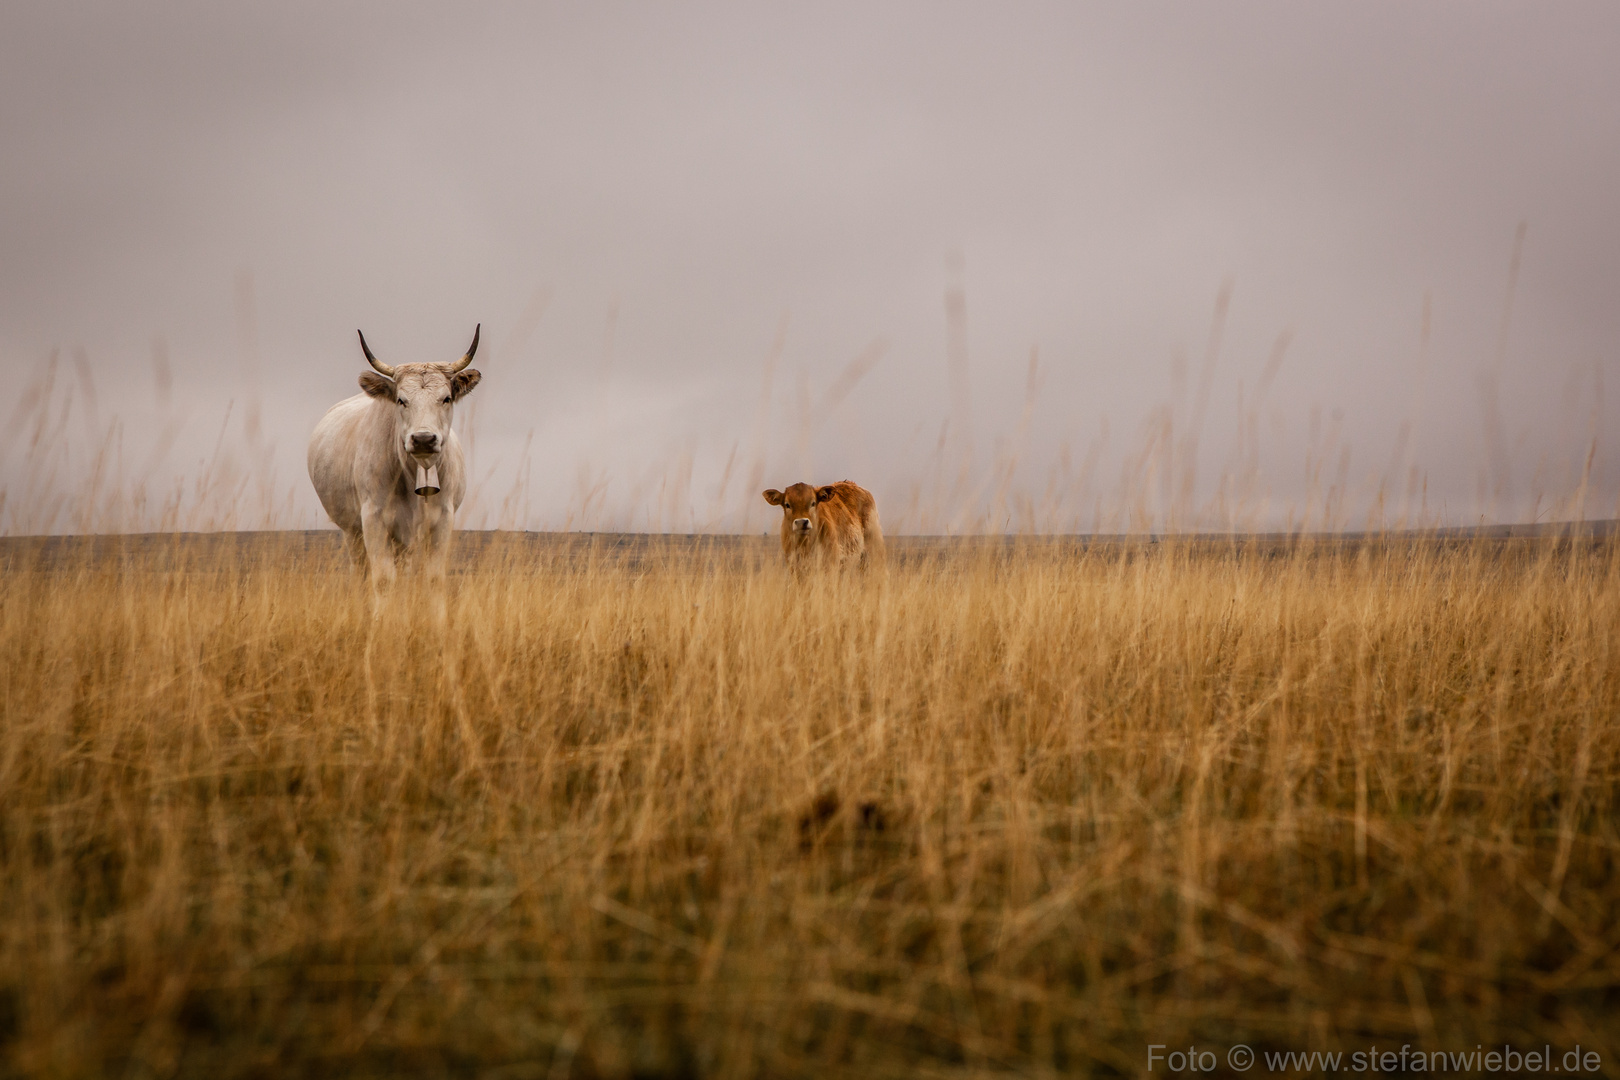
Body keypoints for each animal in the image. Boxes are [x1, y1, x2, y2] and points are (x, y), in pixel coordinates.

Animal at [304, 325, 476, 586]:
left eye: (446, 398)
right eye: (401, 400)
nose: (423, 439)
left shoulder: (442, 522)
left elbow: (433, 578)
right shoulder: (373, 521)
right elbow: (383, 579)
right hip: (353, 532)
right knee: (359, 571)